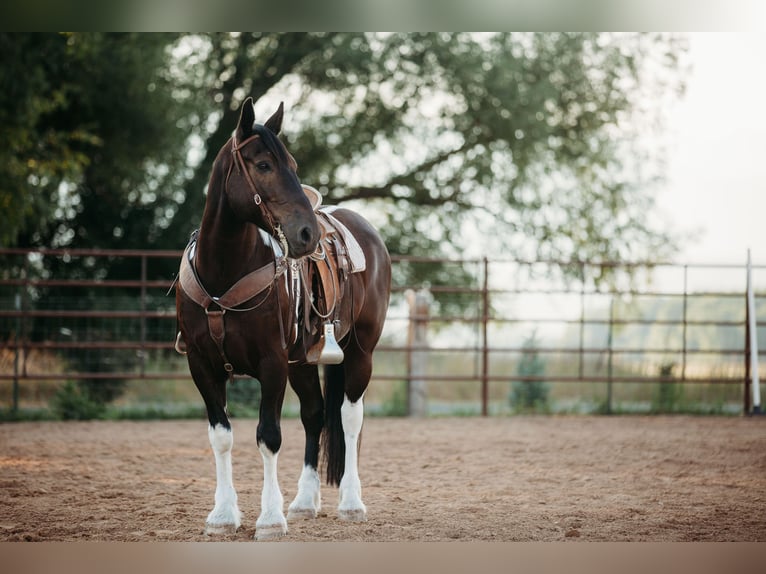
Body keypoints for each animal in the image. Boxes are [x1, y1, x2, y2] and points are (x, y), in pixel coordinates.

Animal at [174, 97, 390, 544]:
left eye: (291, 162)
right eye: (263, 165)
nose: (307, 234)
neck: (224, 273)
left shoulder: (271, 364)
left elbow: (269, 437)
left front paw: (270, 518)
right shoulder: (202, 366)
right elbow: (221, 437)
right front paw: (223, 515)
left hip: (360, 352)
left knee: (349, 417)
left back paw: (351, 503)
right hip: (302, 362)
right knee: (315, 414)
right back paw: (305, 501)